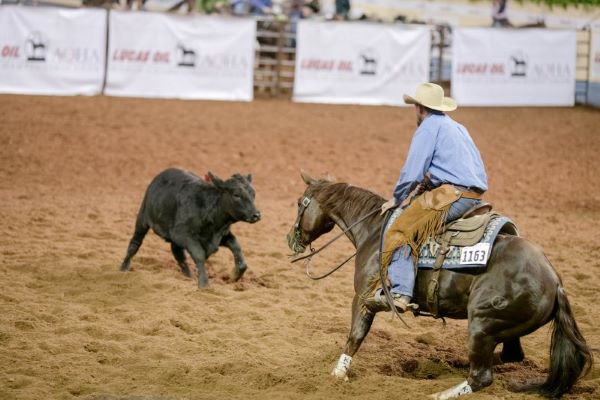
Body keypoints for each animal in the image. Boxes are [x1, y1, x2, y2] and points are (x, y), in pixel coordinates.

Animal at [288, 173, 592, 400]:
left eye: (300, 203)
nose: (291, 239)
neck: (375, 230)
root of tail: (555, 280)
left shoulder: (363, 298)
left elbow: (355, 336)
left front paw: (337, 374)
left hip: (481, 322)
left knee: (481, 377)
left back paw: (439, 393)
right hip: (504, 329)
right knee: (510, 357)